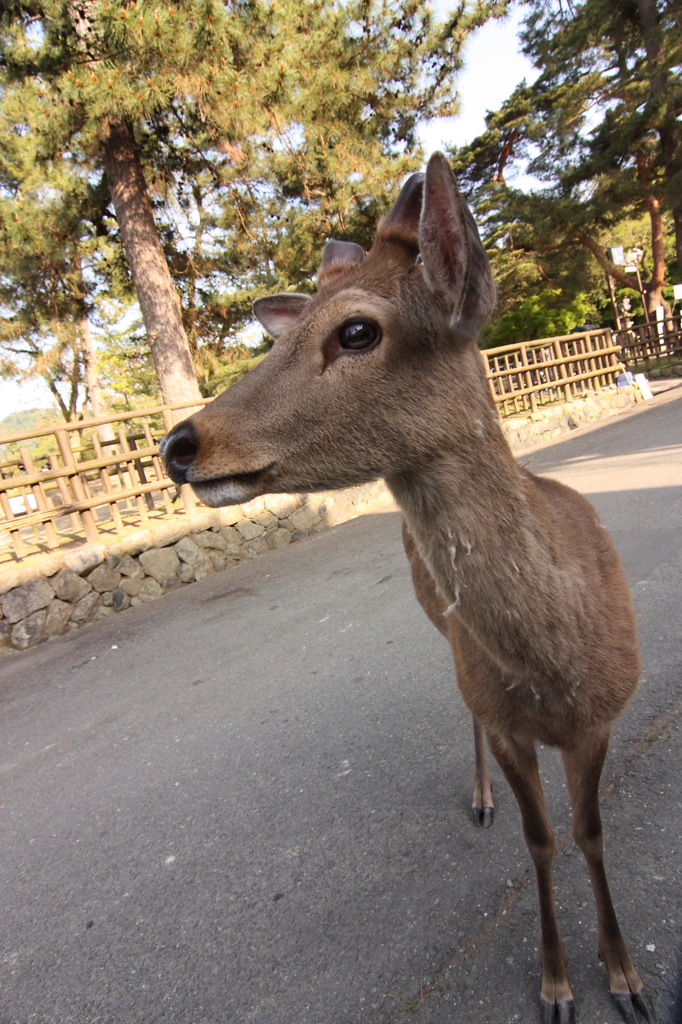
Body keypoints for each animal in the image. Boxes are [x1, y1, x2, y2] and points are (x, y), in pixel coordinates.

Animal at [160, 151, 655, 1024]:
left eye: (358, 329)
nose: (178, 445)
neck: (557, 671)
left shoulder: (604, 716)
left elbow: (592, 832)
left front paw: (625, 977)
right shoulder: (504, 714)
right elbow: (540, 838)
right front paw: (557, 984)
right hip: (443, 632)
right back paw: (481, 798)